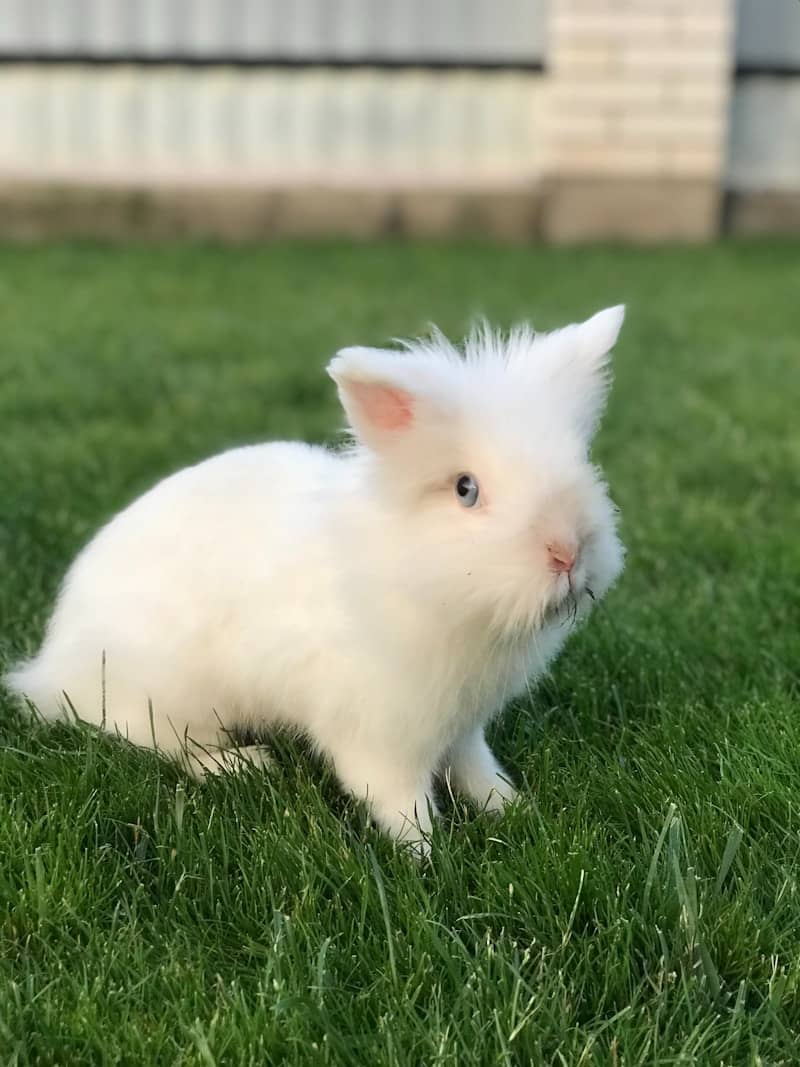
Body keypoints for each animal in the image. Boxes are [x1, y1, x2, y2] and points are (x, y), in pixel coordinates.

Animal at [6, 305, 626, 853]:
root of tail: (52, 666)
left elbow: (478, 772)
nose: (568, 552)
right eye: (465, 489)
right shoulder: (378, 731)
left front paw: (515, 809)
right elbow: (395, 797)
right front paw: (427, 856)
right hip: (169, 697)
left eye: (582, 463)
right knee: (158, 741)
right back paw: (244, 765)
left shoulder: (462, 728)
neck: (417, 580)